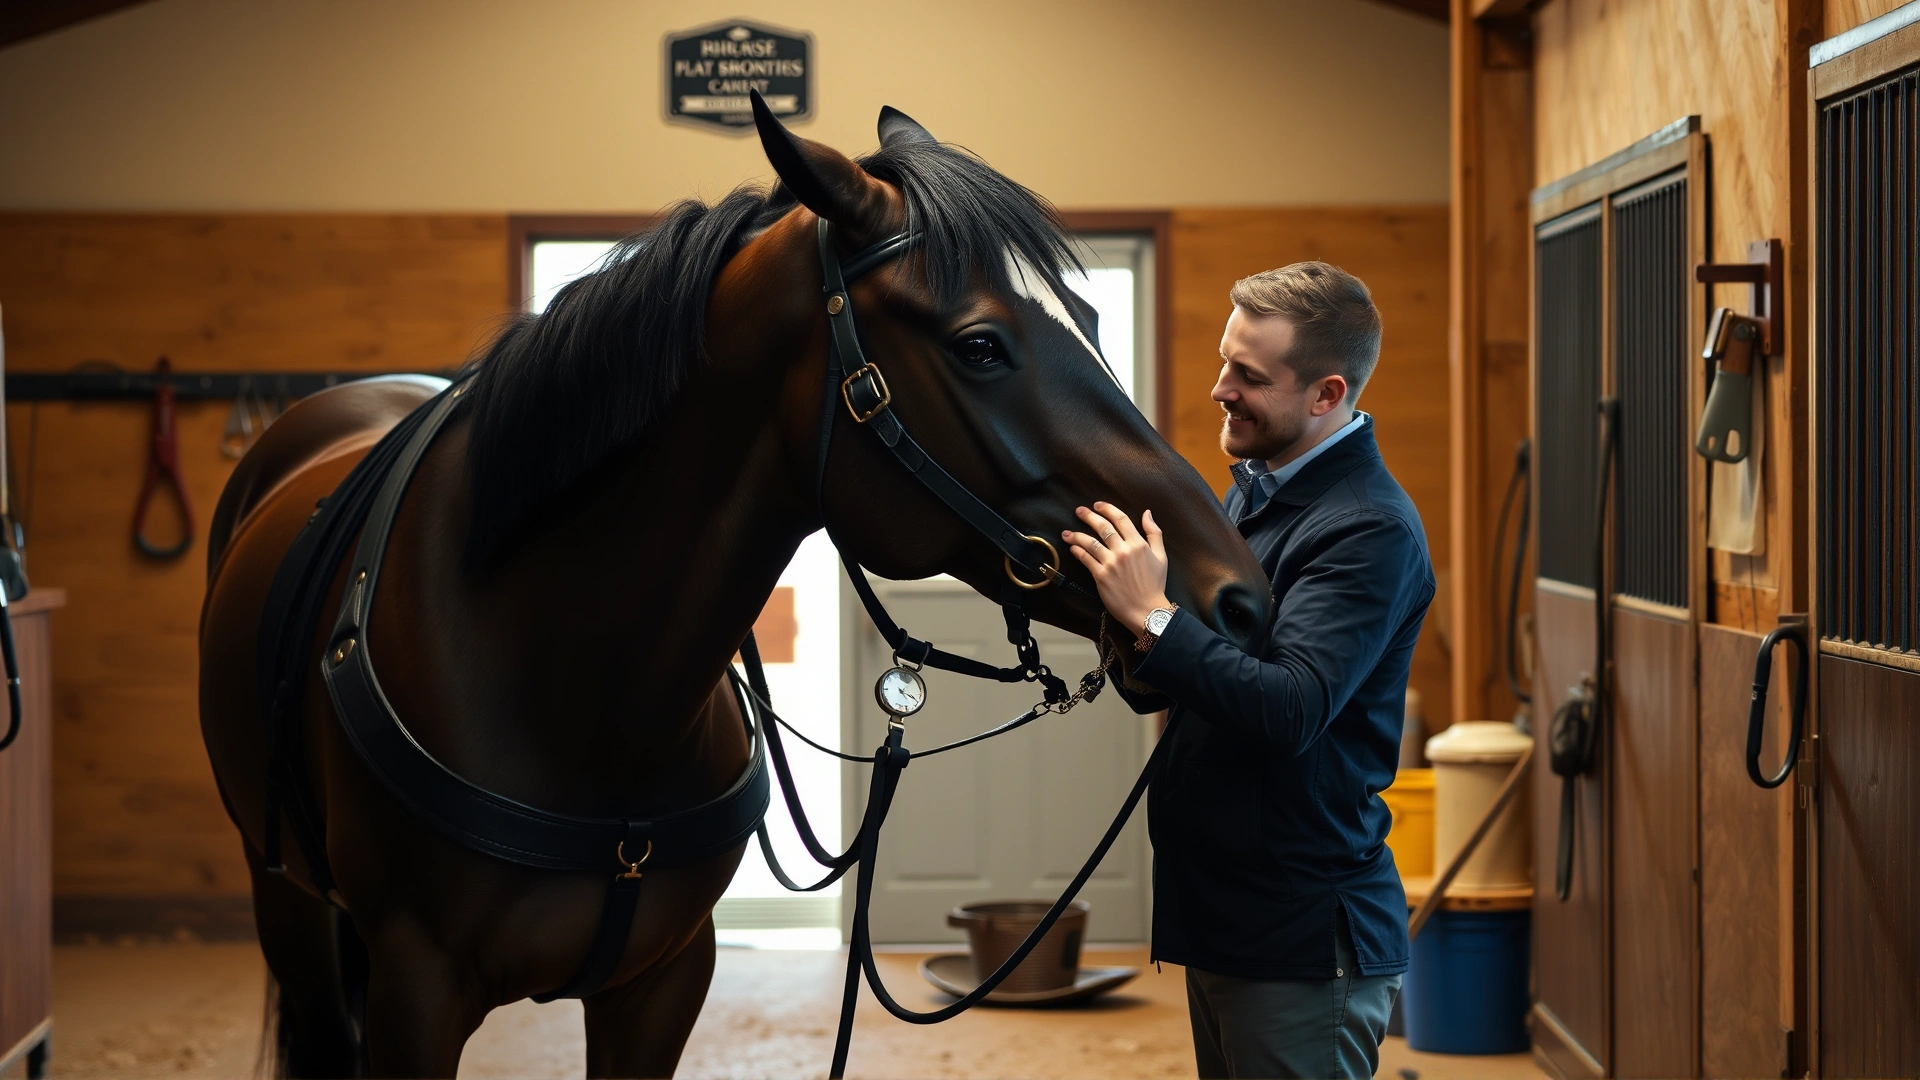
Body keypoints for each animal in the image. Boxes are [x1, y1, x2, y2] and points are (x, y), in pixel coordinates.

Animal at [198, 100, 1271, 1078]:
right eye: (978, 345)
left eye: (1091, 318)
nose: (1238, 601)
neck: (574, 682)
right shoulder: (417, 991)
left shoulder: (662, 984)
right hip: (285, 901)